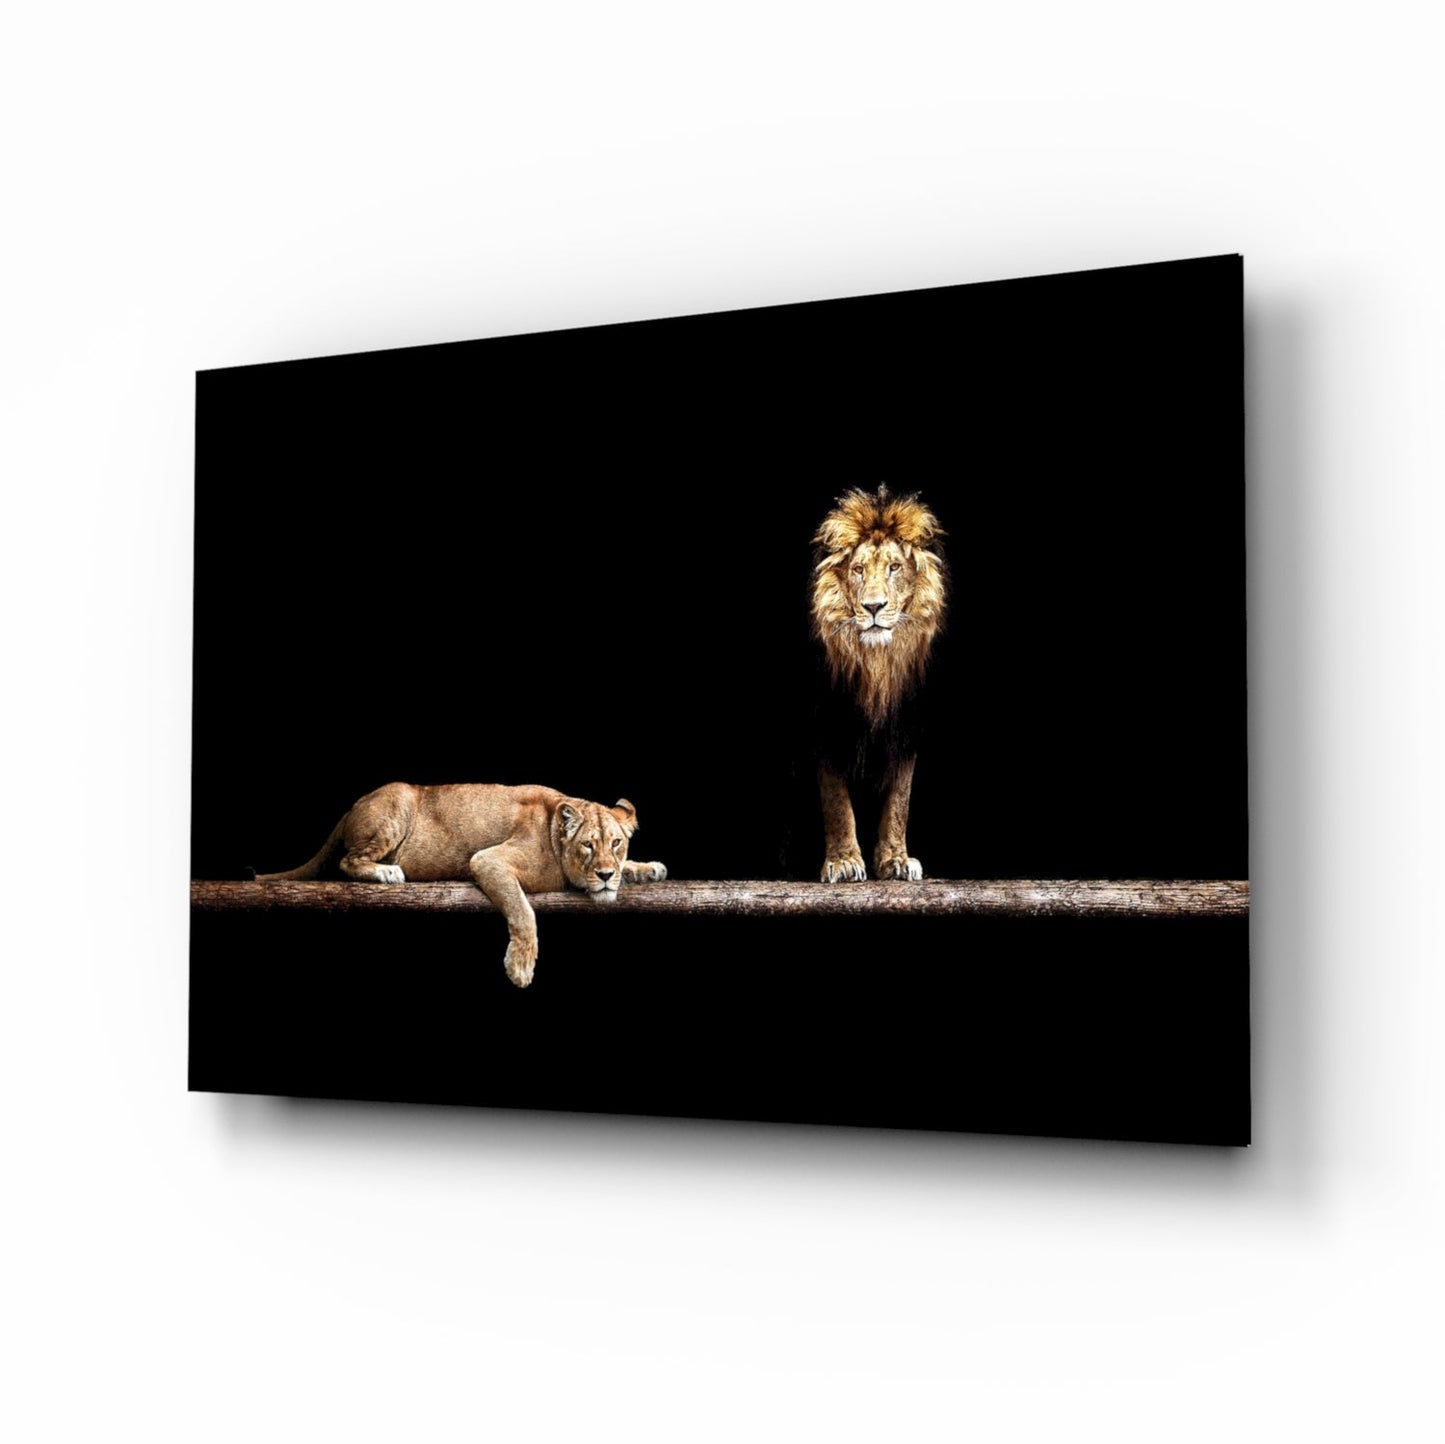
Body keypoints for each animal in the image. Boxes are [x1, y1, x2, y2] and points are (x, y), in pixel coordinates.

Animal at [253, 783, 667, 987]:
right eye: (588, 845)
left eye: (616, 843)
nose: (606, 875)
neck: (556, 832)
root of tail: (352, 806)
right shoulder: (487, 860)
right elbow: (523, 913)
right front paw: (520, 968)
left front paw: (646, 868)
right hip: (396, 807)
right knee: (346, 861)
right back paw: (387, 872)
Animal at [810, 484, 947, 882]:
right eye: (858, 570)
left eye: (894, 567)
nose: (873, 607)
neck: (876, 665)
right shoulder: (827, 725)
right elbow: (836, 800)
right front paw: (843, 862)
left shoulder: (906, 726)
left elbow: (899, 800)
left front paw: (896, 860)